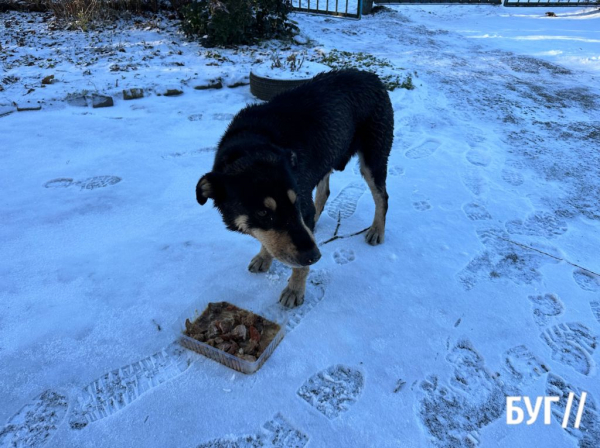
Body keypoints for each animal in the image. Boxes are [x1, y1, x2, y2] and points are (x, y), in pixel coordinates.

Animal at [196, 69, 394, 308]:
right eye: (262, 213)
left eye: (295, 202)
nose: (315, 256)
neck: (252, 145)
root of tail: (371, 76)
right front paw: (264, 256)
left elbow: (298, 264)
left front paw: (294, 289)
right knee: (324, 193)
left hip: (373, 159)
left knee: (382, 197)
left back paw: (377, 230)